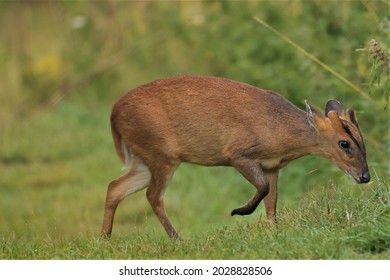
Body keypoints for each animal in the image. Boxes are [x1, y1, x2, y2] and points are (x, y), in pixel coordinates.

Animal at [100, 75, 368, 240]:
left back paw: (104, 238)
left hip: (144, 158)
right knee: (152, 196)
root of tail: (113, 114)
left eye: (362, 141)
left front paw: (272, 230)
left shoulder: (272, 166)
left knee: (115, 187)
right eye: (344, 143)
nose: (365, 176)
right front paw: (238, 212)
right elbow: (263, 187)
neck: (279, 129)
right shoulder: (238, 153)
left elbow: (272, 202)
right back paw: (178, 239)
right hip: (160, 153)